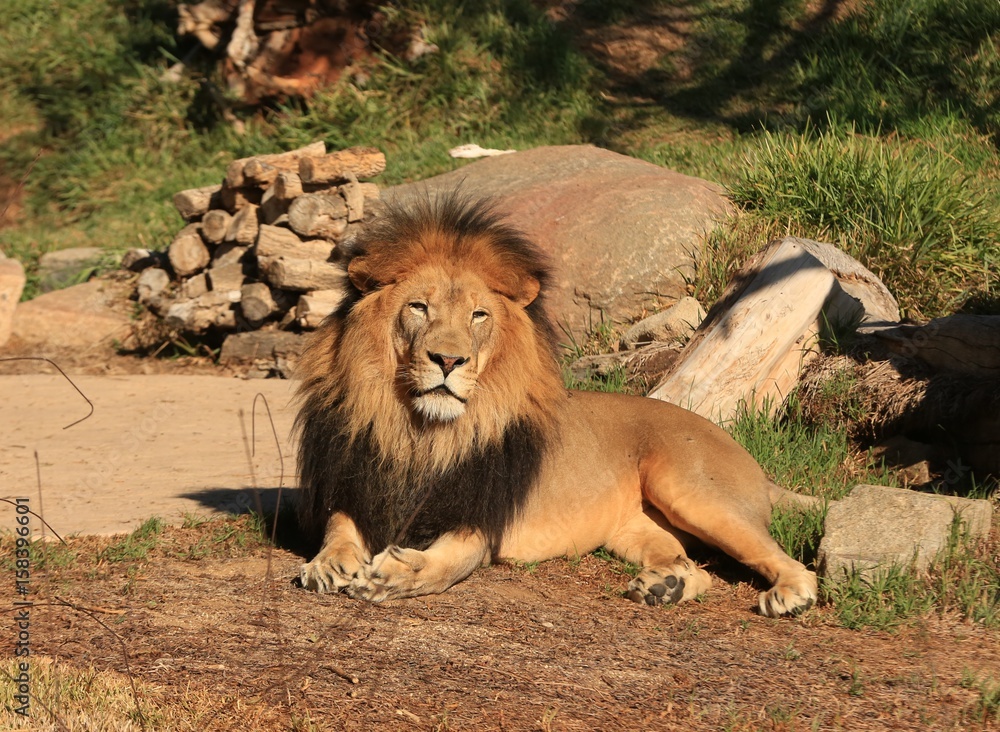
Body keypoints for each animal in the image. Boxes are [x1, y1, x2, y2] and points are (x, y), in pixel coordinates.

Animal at [295, 194, 818, 617]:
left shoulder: (480, 523)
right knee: (694, 567)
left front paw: (393, 575)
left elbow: (444, 565)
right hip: (634, 531)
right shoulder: (356, 484)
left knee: (788, 561)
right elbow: (338, 528)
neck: (419, 431)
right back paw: (664, 586)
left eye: (478, 315)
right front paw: (328, 564)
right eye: (418, 307)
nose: (447, 359)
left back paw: (789, 594)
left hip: (691, 490)